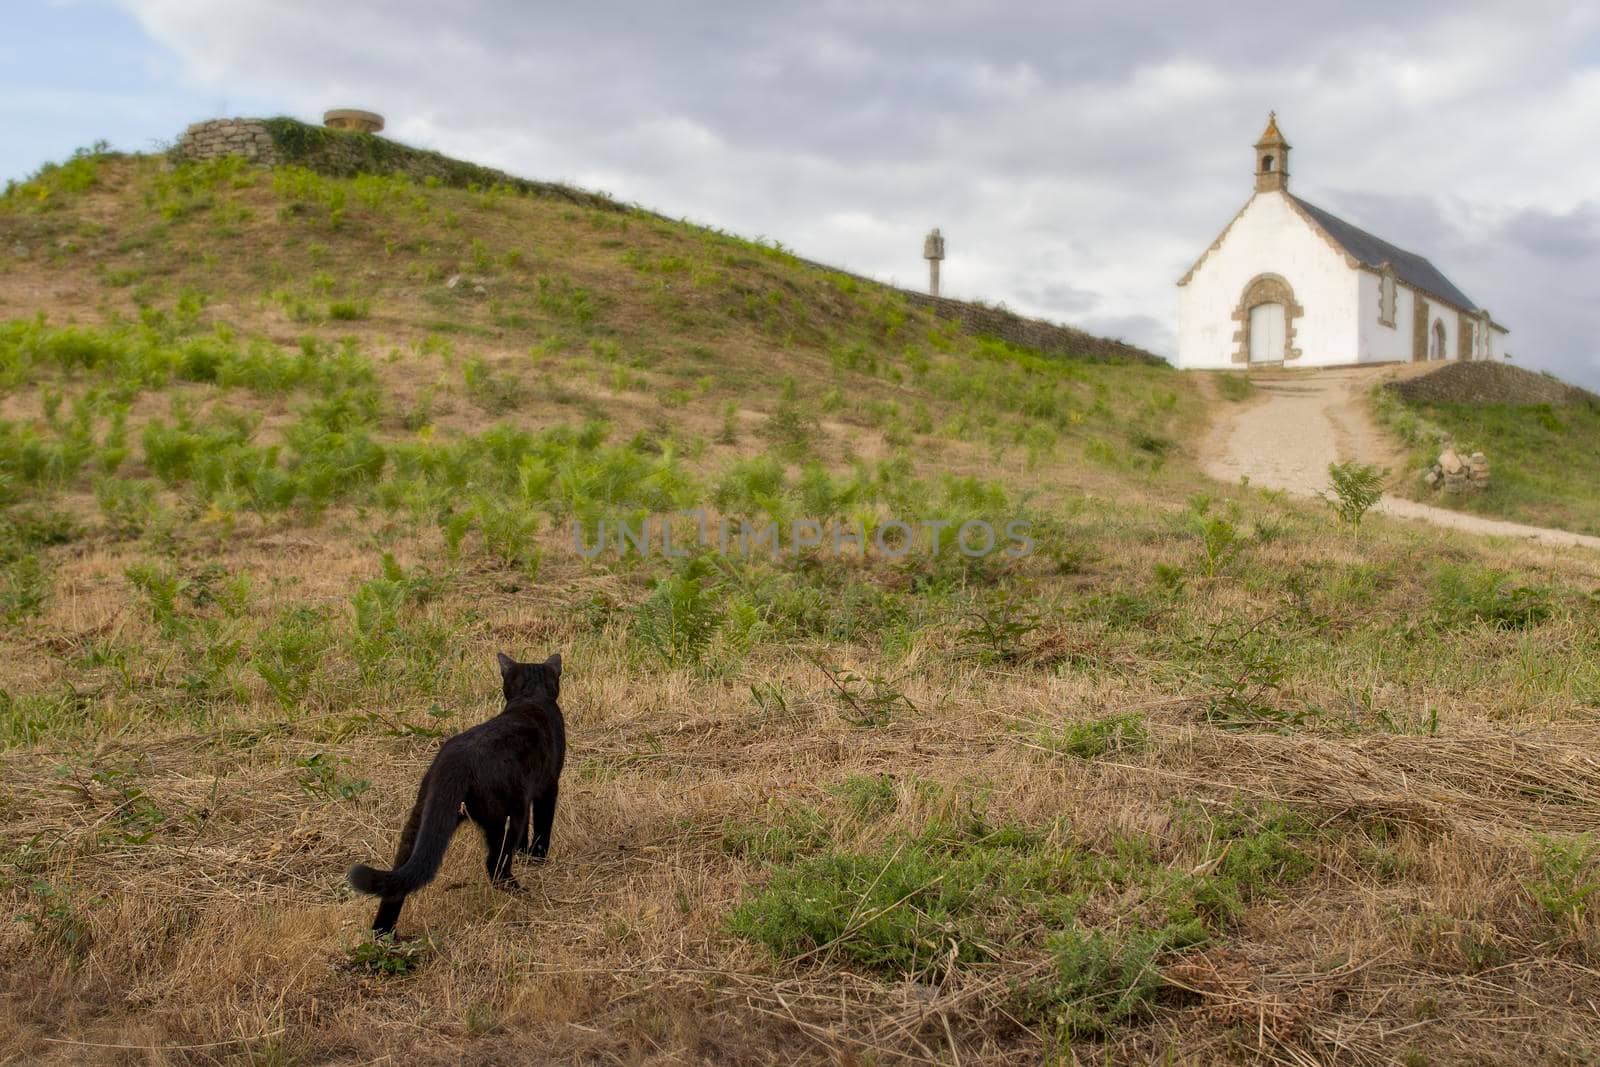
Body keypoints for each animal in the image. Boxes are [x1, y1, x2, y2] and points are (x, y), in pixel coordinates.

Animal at [350, 652, 569, 934]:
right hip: (508, 815)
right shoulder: (547, 786)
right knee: (494, 865)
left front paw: (524, 853)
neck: (531, 696)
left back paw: (384, 932)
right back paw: (519, 892)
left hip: (420, 820)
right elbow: (542, 826)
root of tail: (454, 761)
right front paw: (538, 857)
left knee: (398, 878)